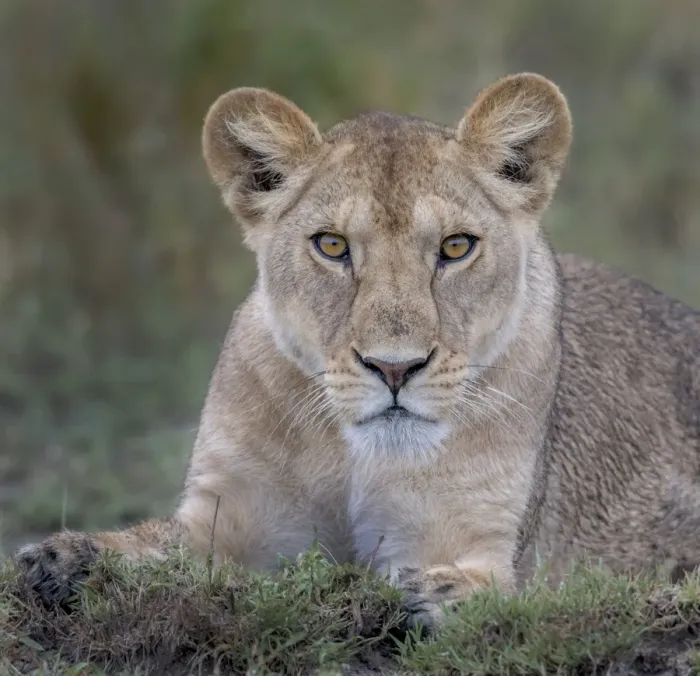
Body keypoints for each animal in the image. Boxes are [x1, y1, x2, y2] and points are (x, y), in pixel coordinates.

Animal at [15, 73, 700, 632]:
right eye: (332, 245)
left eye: (456, 247)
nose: (394, 367)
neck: (355, 456)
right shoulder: (225, 515)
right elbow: (156, 547)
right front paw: (63, 557)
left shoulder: (482, 537)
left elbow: (493, 587)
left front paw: (437, 595)